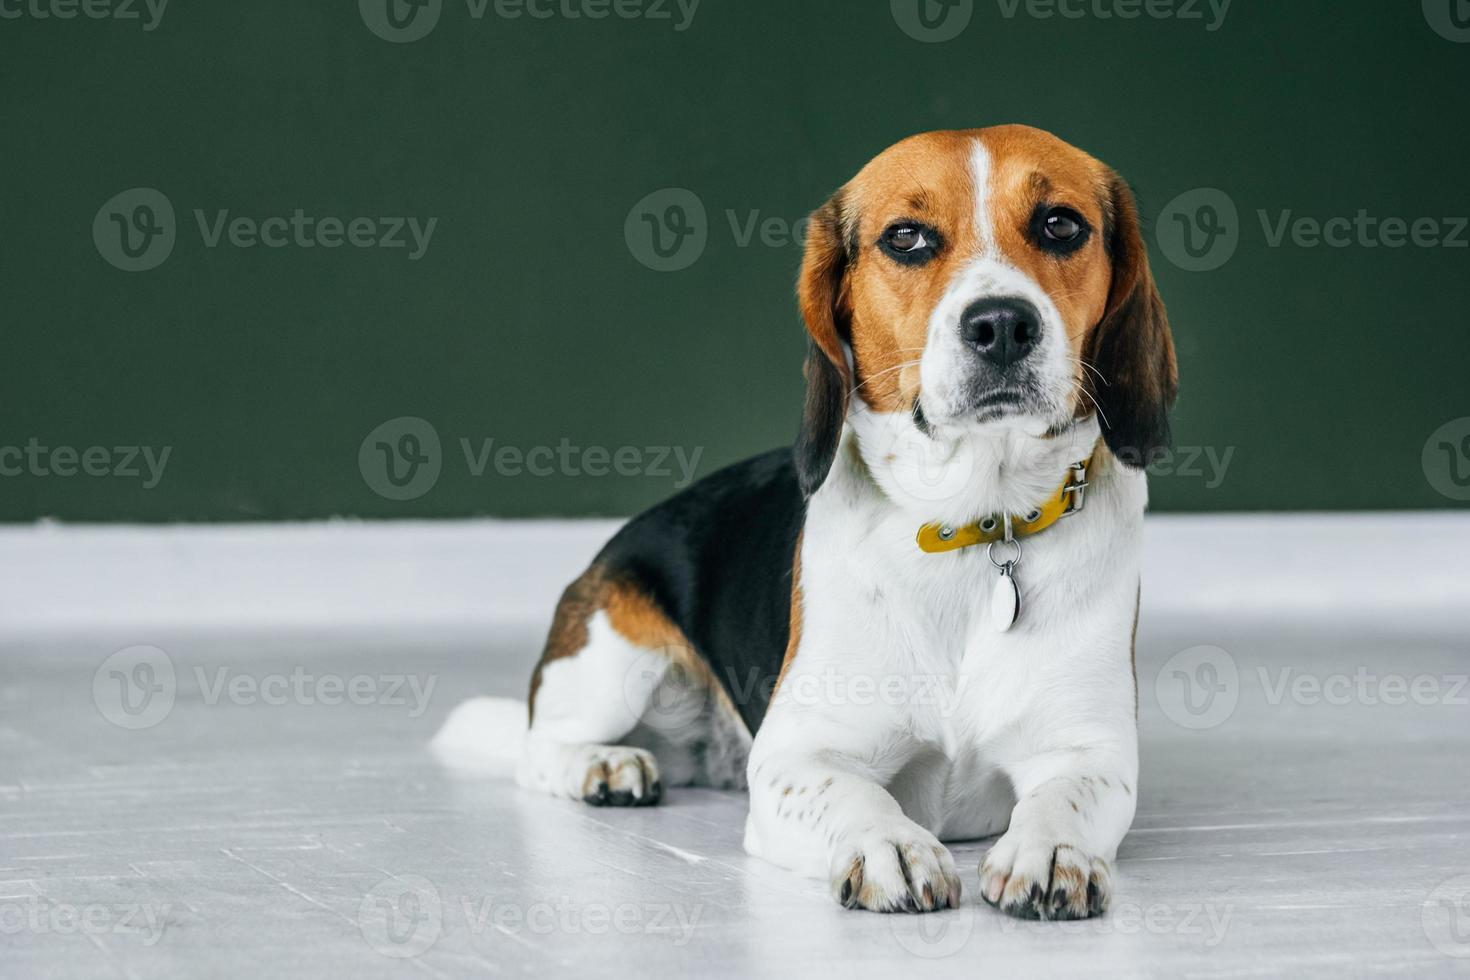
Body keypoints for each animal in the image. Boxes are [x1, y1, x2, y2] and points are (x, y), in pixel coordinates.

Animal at [511, 124, 1176, 922]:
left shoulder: (1092, 752)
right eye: (907, 238)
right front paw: (889, 845)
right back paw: (605, 765)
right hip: (615, 656)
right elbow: (852, 794)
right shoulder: (794, 756)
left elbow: (1066, 796)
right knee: (535, 747)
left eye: (1061, 225)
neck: (975, 525)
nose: (1002, 324)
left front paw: (1050, 850)